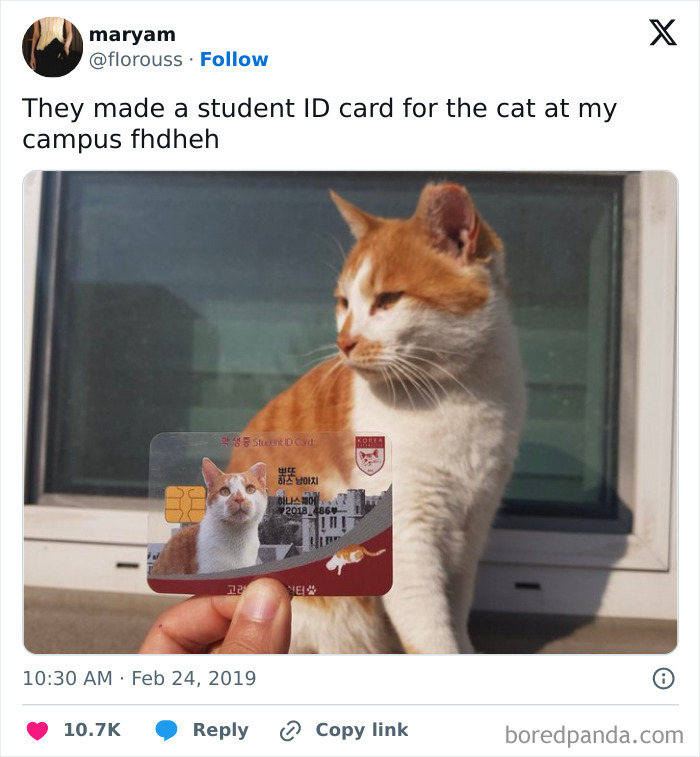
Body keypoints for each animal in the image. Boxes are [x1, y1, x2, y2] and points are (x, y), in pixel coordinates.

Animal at [232, 183, 524, 648]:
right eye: (344, 302)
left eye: (388, 299)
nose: (344, 341)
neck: (459, 392)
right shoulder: (407, 534)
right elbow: (431, 637)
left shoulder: (473, 523)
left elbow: (457, 615)